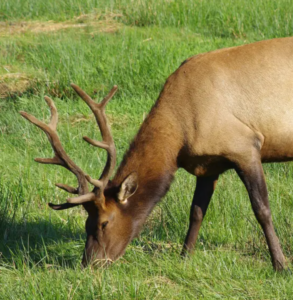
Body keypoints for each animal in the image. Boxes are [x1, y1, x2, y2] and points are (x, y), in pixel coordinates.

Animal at [20, 37, 292, 270]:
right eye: (86, 223)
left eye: (104, 222)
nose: (89, 263)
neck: (180, 135)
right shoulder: (207, 165)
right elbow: (196, 211)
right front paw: (184, 256)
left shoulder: (245, 146)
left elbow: (262, 210)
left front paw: (279, 264)